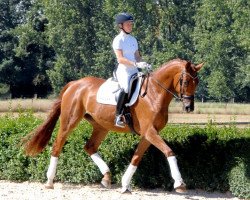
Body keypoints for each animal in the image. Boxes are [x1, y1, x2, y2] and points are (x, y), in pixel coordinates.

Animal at [22, 59, 203, 194]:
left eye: (197, 82)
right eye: (185, 81)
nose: (189, 107)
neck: (154, 94)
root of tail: (74, 84)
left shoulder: (148, 134)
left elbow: (136, 158)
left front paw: (125, 185)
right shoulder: (150, 132)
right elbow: (169, 152)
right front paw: (180, 184)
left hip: (101, 126)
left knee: (89, 147)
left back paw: (106, 177)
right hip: (69, 121)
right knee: (57, 145)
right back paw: (49, 181)